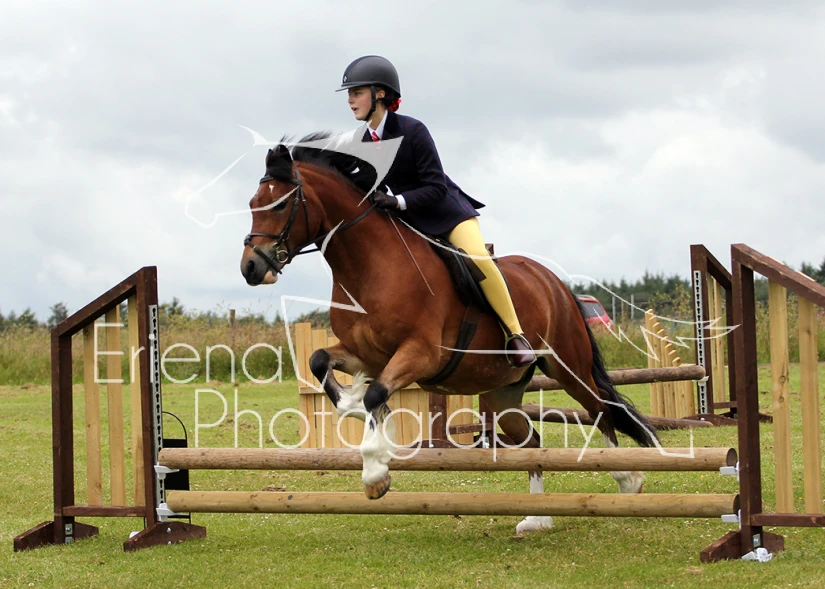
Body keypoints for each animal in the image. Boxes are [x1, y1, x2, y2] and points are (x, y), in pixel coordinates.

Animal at [240, 133, 659, 534]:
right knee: (532, 439)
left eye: (279, 205)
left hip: (567, 367)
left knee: (601, 411)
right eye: (252, 203)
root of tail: (553, 282)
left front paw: (375, 474)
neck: (369, 266)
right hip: (502, 392)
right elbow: (321, 363)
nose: (250, 268)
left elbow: (376, 393)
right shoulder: (365, 354)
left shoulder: (421, 354)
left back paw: (627, 478)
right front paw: (358, 408)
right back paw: (537, 518)